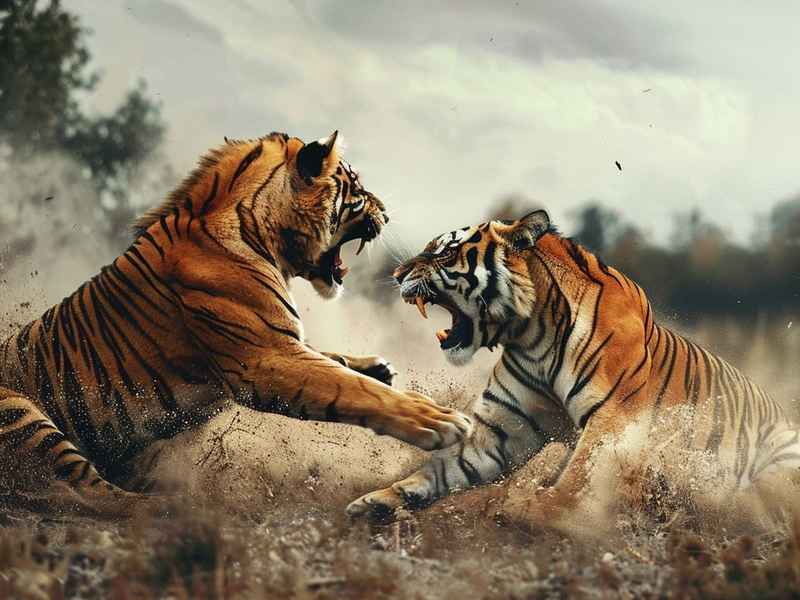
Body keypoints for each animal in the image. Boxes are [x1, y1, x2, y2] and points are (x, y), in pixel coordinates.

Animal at [0, 131, 471, 517]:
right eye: (356, 187)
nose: (387, 213)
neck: (263, 233)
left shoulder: (280, 341)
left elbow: (330, 358)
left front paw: (378, 367)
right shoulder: (263, 360)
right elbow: (351, 389)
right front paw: (439, 421)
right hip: (22, 414)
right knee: (81, 493)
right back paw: (169, 505)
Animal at [347, 210, 800, 532]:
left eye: (444, 250)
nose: (396, 275)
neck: (532, 334)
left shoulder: (613, 421)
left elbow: (580, 476)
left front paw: (535, 508)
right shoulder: (500, 433)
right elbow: (437, 469)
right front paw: (374, 503)